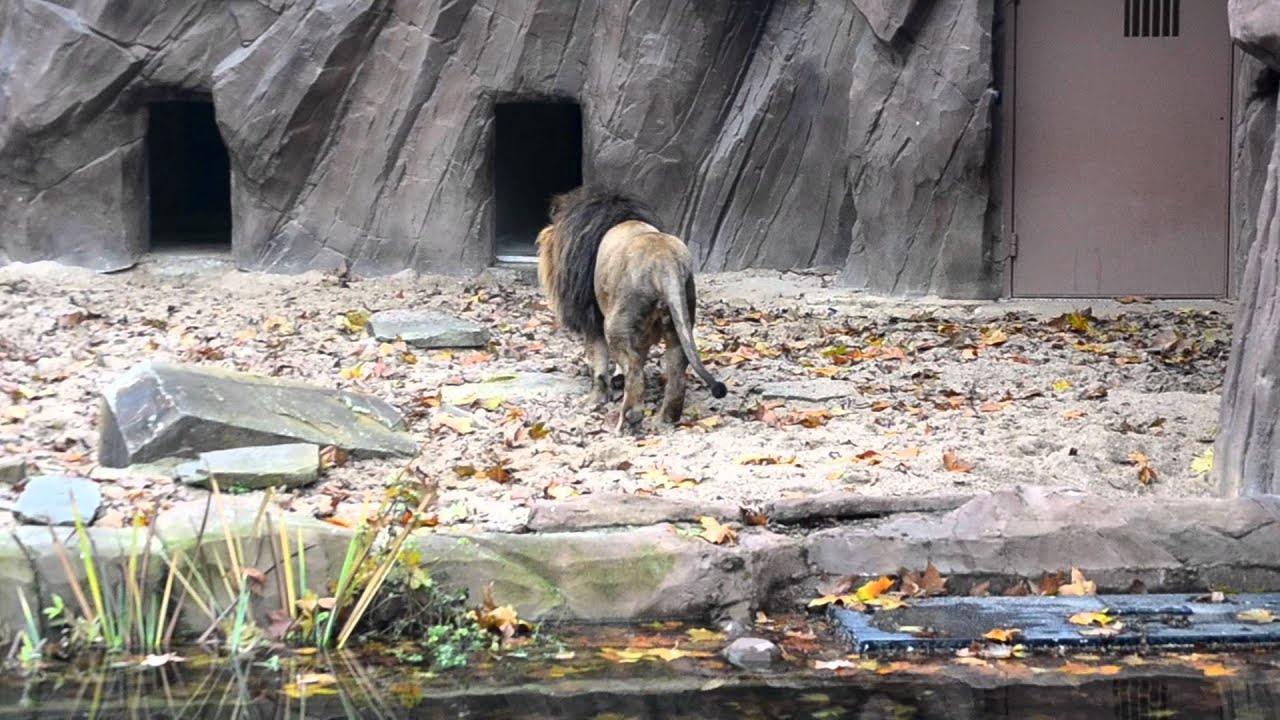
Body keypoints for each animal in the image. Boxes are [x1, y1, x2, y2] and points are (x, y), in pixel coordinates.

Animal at [536, 185, 727, 433]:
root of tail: (665, 261)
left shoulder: (592, 319)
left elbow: (599, 363)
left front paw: (594, 400)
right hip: (678, 323)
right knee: (675, 375)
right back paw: (664, 419)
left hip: (614, 324)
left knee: (635, 374)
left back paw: (628, 420)